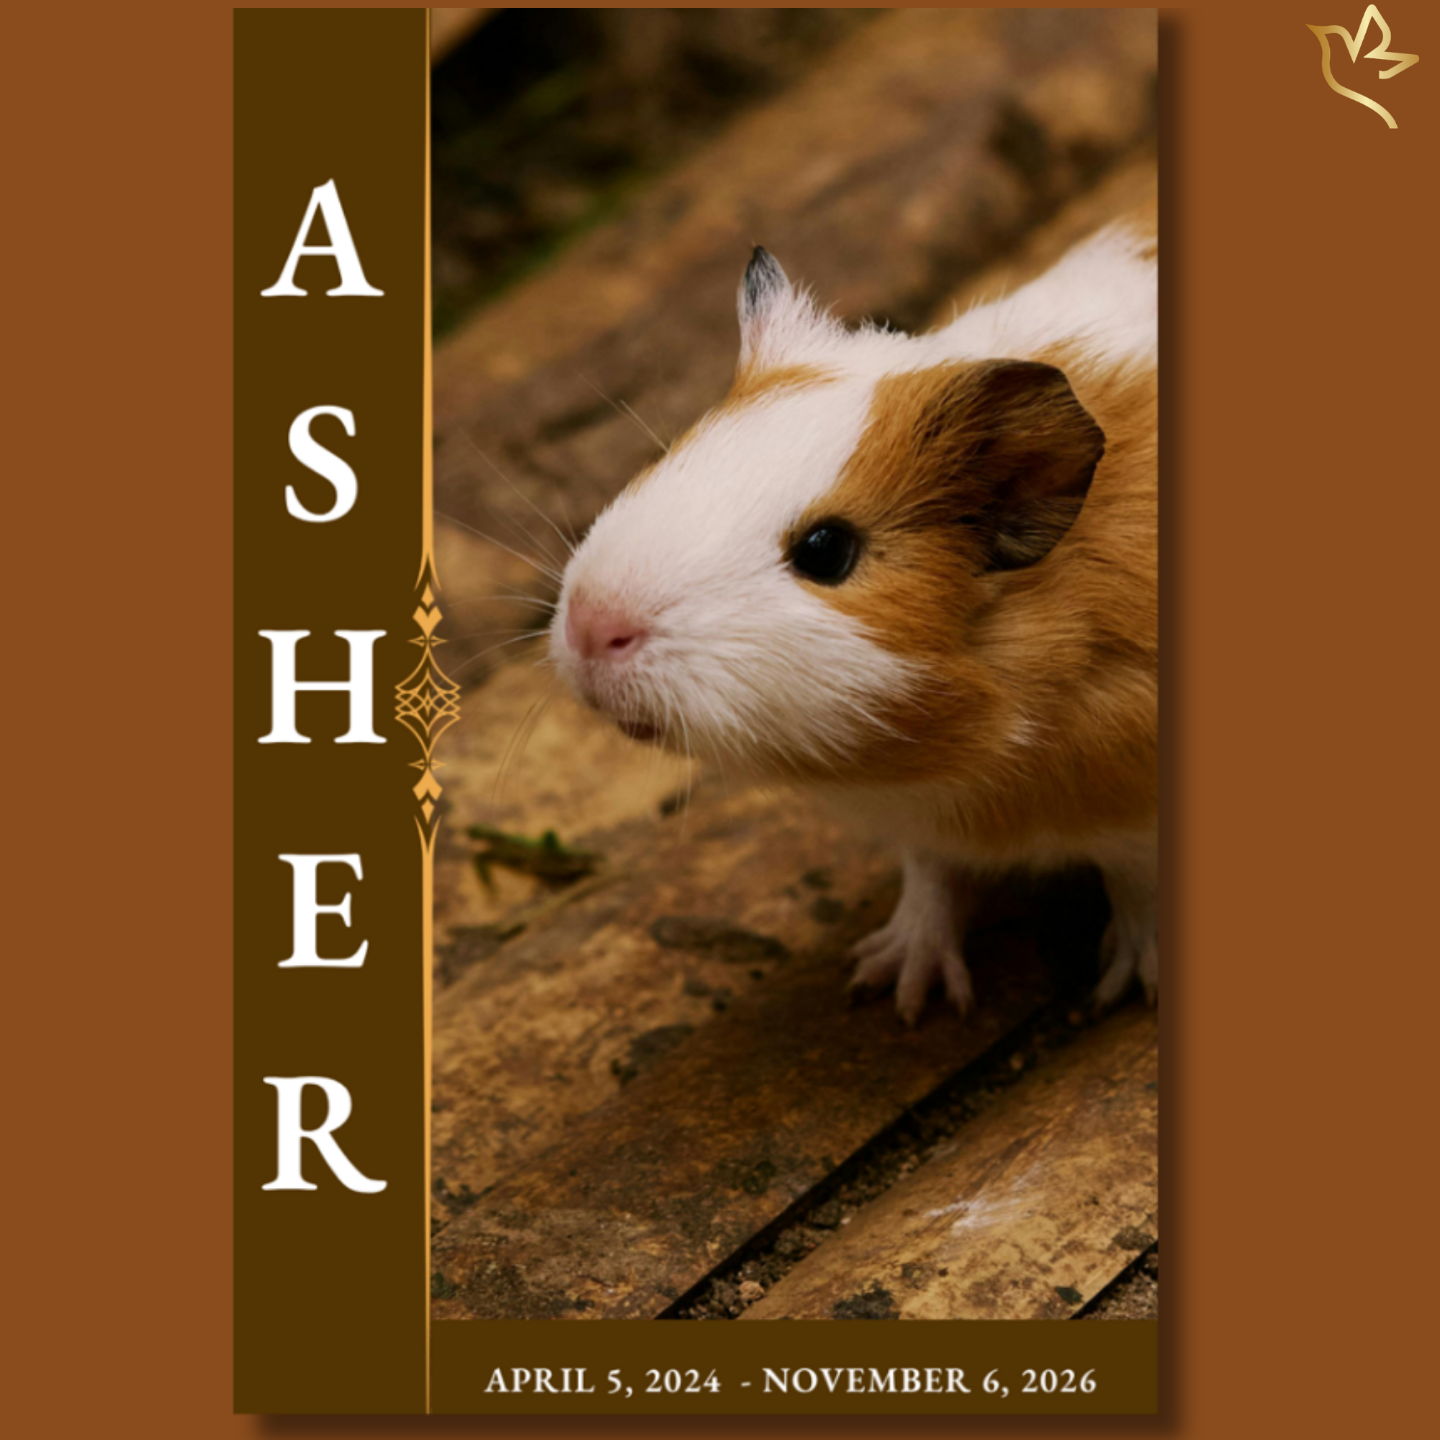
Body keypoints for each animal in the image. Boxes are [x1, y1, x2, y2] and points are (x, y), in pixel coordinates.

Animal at [550, 214, 1157, 1024]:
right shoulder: (924, 826)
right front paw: (894, 989)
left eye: (826, 550)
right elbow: (931, 881)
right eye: (675, 454)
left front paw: (1125, 988)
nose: (590, 627)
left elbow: (1136, 889)